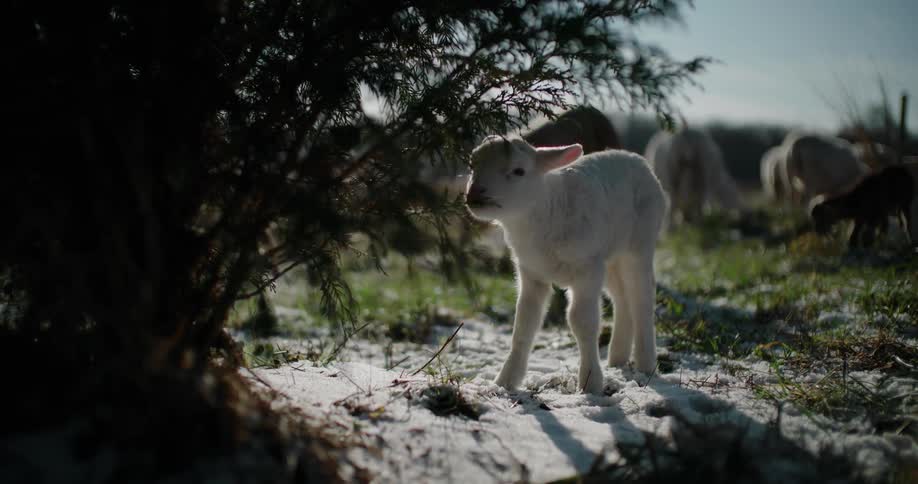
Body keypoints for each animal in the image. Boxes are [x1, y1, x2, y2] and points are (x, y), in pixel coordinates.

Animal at [465, 136, 666, 394]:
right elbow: (524, 324)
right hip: (609, 257)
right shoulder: (532, 273)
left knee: (642, 297)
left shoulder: (587, 269)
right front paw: (505, 381)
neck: (546, 212)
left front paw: (590, 383)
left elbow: (582, 321)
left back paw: (646, 364)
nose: (474, 194)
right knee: (622, 299)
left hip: (640, 243)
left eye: (519, 171)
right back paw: (617, 359)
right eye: (472, 166)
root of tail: (636, 158)